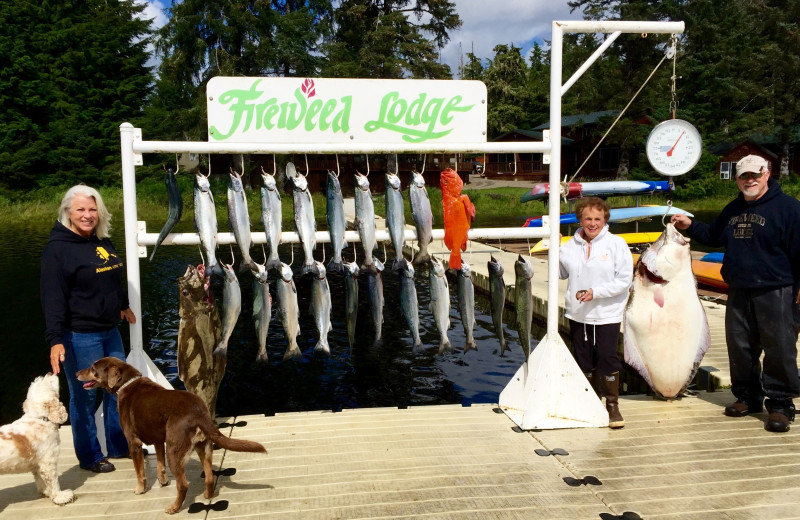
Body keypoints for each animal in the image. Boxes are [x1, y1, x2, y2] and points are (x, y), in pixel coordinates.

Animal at [0, 374, 74, 504]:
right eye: (49, 383)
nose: (50, 372)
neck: (39, 418)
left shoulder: (37, 464)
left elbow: (39, 479)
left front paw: (45, 491)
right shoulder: (48, 462)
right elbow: (54, 482)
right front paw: (61, 497)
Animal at [75, 358, 264, 512]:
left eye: (93, 368)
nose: (76, 372)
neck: (127, 383)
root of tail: (199, 412)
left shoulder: (134, 443)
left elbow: (140, 472)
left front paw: (140, 489)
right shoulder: (158, 441)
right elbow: (160, 465)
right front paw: (163, 481)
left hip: (173, 451)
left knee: (183, 485)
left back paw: (174, 508)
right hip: (203, 448)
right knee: (210, 477)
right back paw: (207, 496)